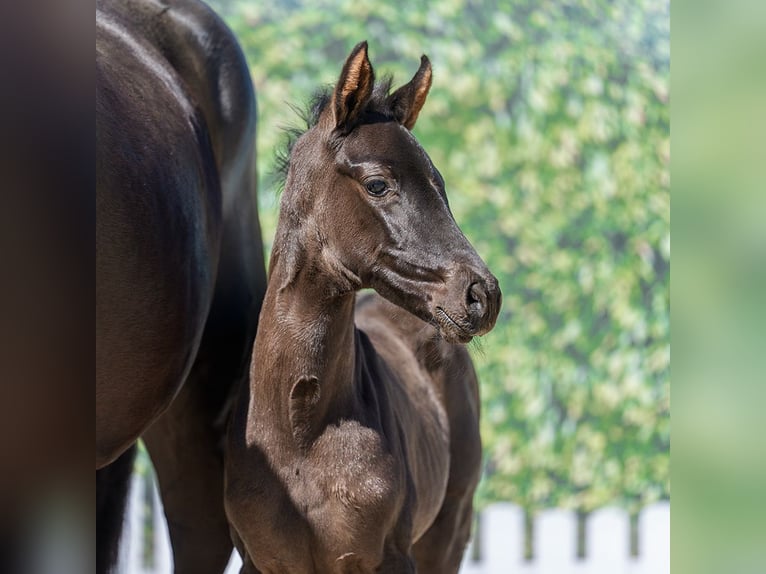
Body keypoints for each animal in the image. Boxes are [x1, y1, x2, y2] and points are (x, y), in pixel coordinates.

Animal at [224, 42, 501, 573]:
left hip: (450, 528)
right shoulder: (259, 560)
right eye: (377, 184)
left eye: (439, 183)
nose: (482, 295)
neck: (301, 433)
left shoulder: (388, 557)